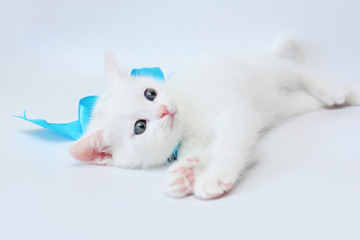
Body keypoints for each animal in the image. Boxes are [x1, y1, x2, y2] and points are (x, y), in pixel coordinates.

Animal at [69, 40, 360, 199]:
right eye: (140, 127)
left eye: (149, 93)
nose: (163, 110)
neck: (187, 126)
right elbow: (221, 151)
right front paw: (185, 175)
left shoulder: (237, 117)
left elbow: (228, 145)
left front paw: (215, 176)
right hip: (289, 104)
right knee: (307, 97)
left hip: (272, 70)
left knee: (303, 75)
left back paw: (336, 90)